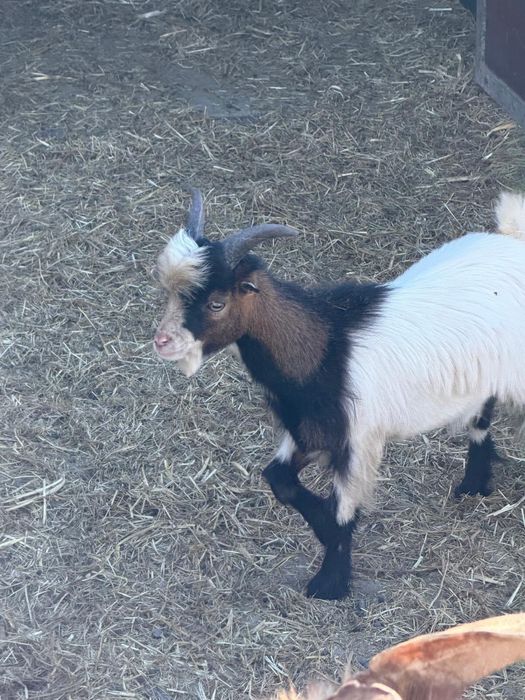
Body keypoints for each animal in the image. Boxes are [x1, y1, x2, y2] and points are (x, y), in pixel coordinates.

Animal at [154, 188, 525, 600]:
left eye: (217, 303)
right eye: (170, 294)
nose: (162, 342)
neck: (328, 346)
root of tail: (511, 237)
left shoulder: (358, 439)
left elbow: (344, 510)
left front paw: (330, 581)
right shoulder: (309, 429)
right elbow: (278, 478)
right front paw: (324, 537)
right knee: (481, 416)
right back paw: (473, 485)